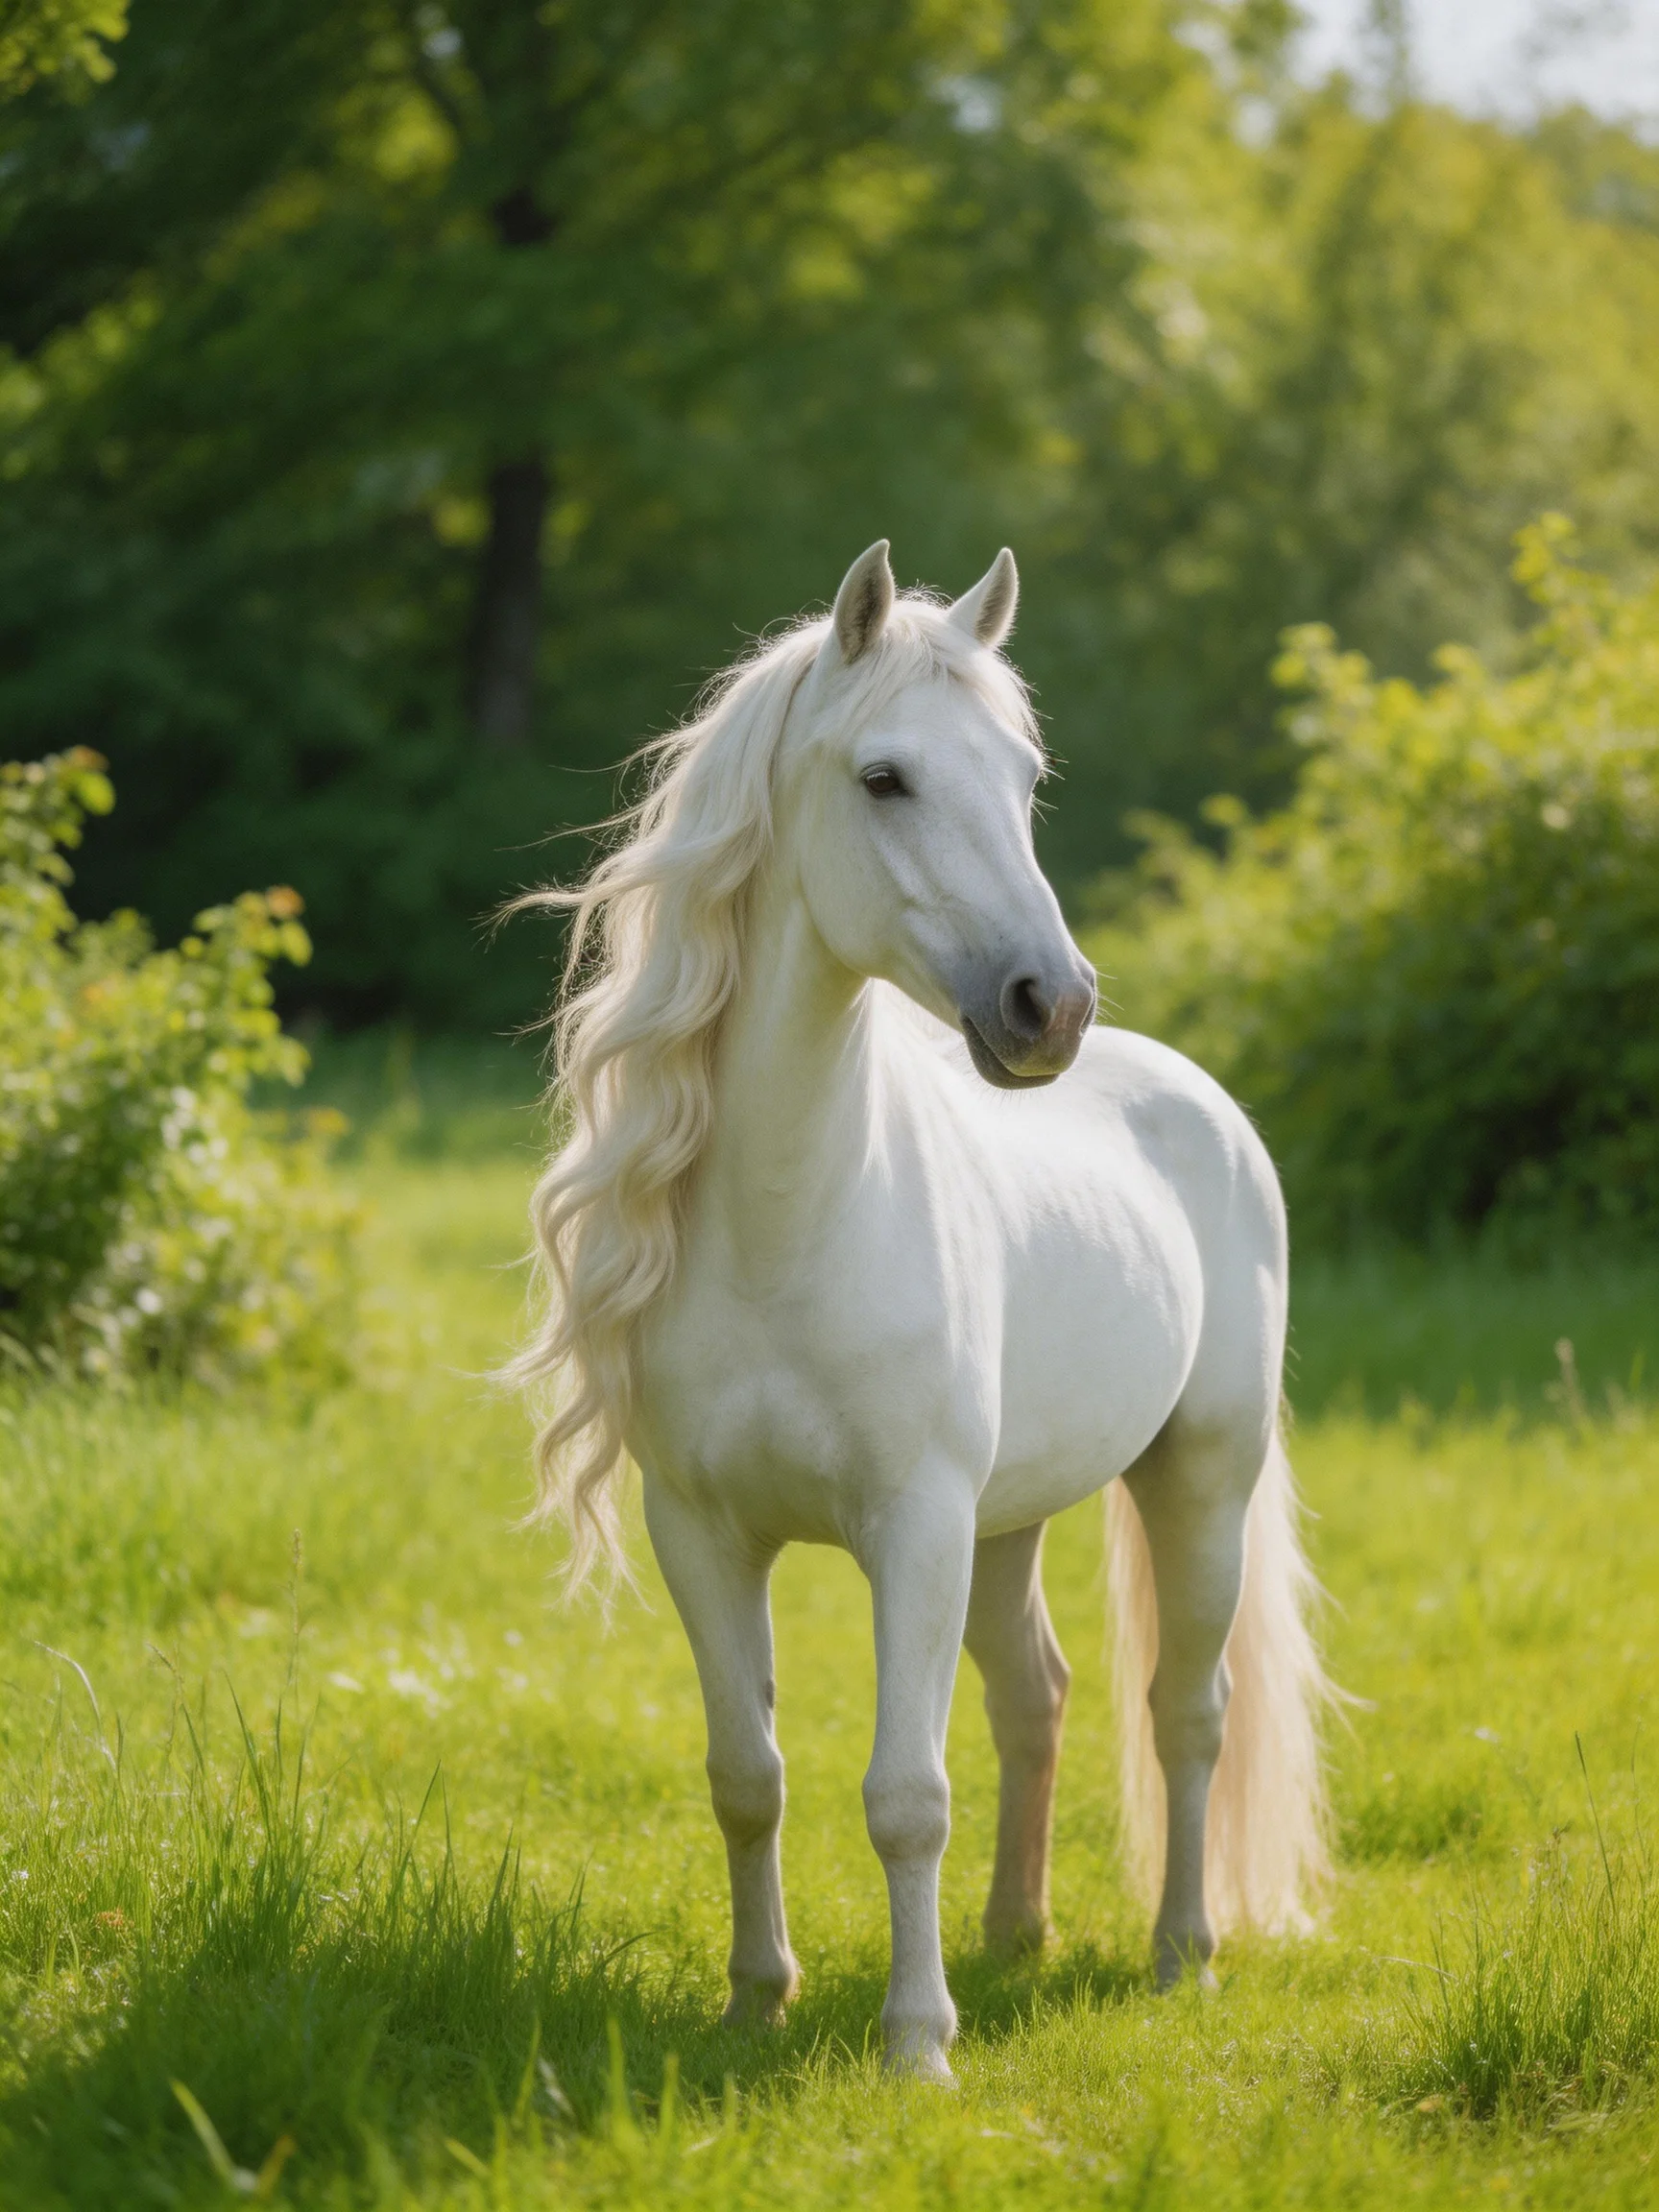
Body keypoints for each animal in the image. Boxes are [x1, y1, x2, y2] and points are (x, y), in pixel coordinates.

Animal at [510, 541, 1333, 2084]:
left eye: (1025, 777)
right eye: (884, 777)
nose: (1048, 1008)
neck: (793, 1225)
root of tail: (1201, 1097)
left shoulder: (917, 1526)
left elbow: (905, 1793)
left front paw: (916, 2044)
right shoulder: (704, 1535)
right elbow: (747, 1776)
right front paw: (754, 2002)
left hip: (1197, 1480)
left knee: (1186, 1715)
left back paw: (1179, 1955)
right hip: (1011, 1525)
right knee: (1037, 1696)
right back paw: (1016, 1937)